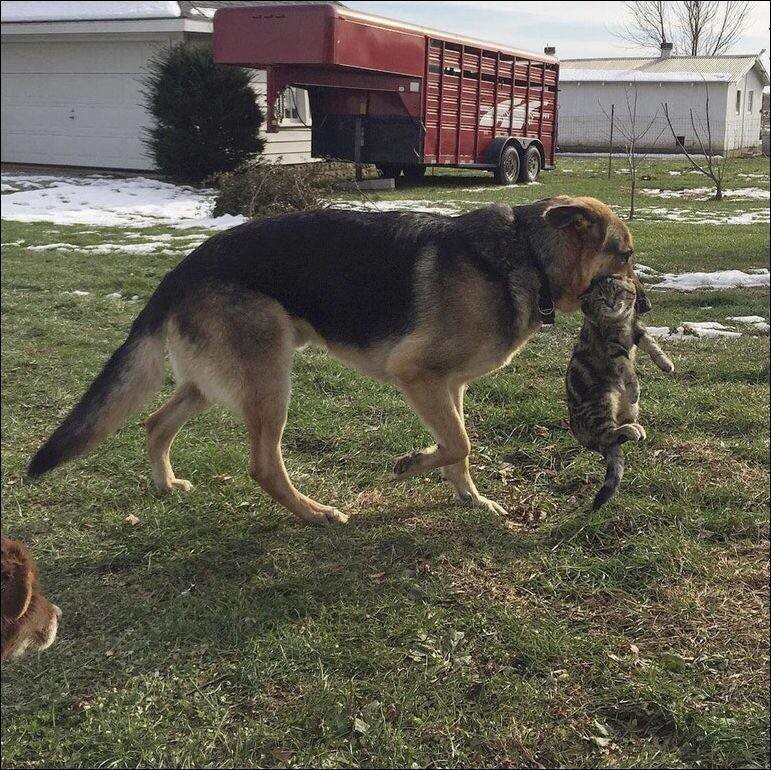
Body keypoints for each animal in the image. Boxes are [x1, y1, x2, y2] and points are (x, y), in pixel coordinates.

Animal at [27, 195, 648, 524]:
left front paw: (472, 500)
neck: (528, 258)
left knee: (156, 423)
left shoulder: (451, 388)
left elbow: (460, 449)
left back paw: (164, 484)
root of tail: (179, 270)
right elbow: (461, 444)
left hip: (216, 381)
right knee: (262, 465)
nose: (643, 307)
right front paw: (411, 466)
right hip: (270, 379)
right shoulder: (417, 375)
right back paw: (314, 513)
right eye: (625, 254)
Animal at [568, 272, 676, 508]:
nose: (610, 303)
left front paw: (666, 363)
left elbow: (653, 346)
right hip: (601, 401)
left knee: (613, 439)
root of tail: (577, 432)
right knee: (606, 436)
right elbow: (628, 370)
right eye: (600, 298)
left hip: (628, 409)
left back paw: (634, 428)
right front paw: (634, 387)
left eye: (617, 291)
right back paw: (630, 429)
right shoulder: (613, 347)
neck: (620, 321)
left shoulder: (637, 330)